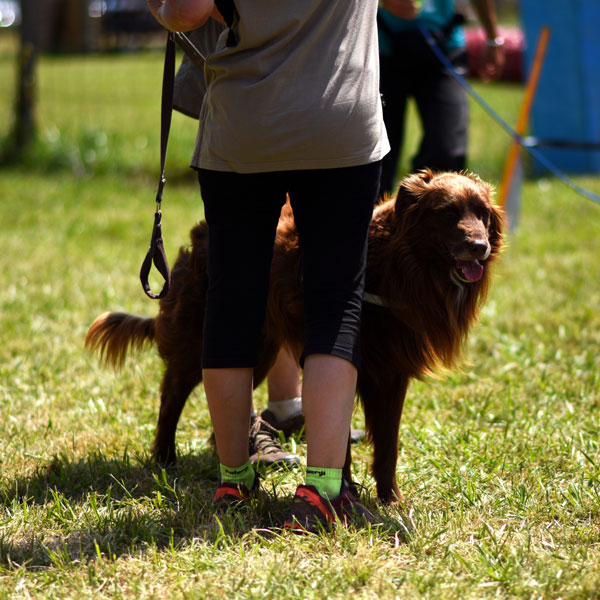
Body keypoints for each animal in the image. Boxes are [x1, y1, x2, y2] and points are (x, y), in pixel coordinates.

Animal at [86, 169, 504, 502]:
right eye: (447, 212)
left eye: (482, 214)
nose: (480, 248)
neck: (392, 264)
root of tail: (201, 233)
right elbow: (339, 437)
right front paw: (345, 492)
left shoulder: (391, 373)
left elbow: (387, 445)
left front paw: (390, 500)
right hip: (201, 335)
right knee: (172, 394)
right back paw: (165, 457)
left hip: (261, 348)